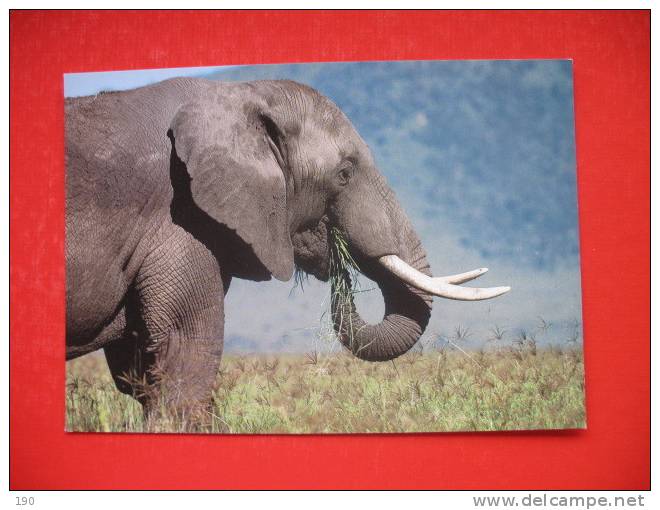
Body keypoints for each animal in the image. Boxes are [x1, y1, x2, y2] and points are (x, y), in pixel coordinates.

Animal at [65, 75, 510, 418]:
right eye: (344, 174)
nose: (339, 255)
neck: (237, 97)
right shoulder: (177, 223)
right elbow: (184, 352)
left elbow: (138, 369)